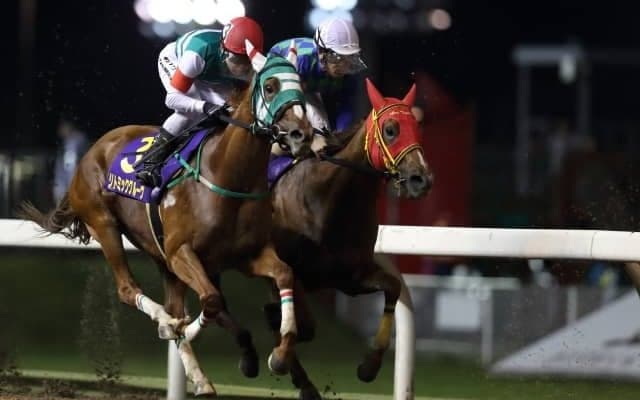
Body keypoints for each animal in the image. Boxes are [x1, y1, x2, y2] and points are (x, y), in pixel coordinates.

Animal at [19, 42, 314, 396]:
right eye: (270, 87)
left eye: (302, 87)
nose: (301, 135)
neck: (228, 174)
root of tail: (90, 153)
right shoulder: (181, 251)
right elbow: (211, 302)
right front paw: (181, 329)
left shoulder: (246, 254)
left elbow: (282, 275)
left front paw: (279, 354)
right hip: (104, 224)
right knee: (129, 290)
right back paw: (168, 324)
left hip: (162, 257)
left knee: (185, 303)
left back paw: (201, 375)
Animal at [264, 78, 434, 399]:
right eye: (391, 129)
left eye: (419, 128)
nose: (422, 180)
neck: (329, 197)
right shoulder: (291, 271)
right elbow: (302, 325)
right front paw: (281, 357)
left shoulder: (348, 276)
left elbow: (393, 287)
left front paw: (370, 366)